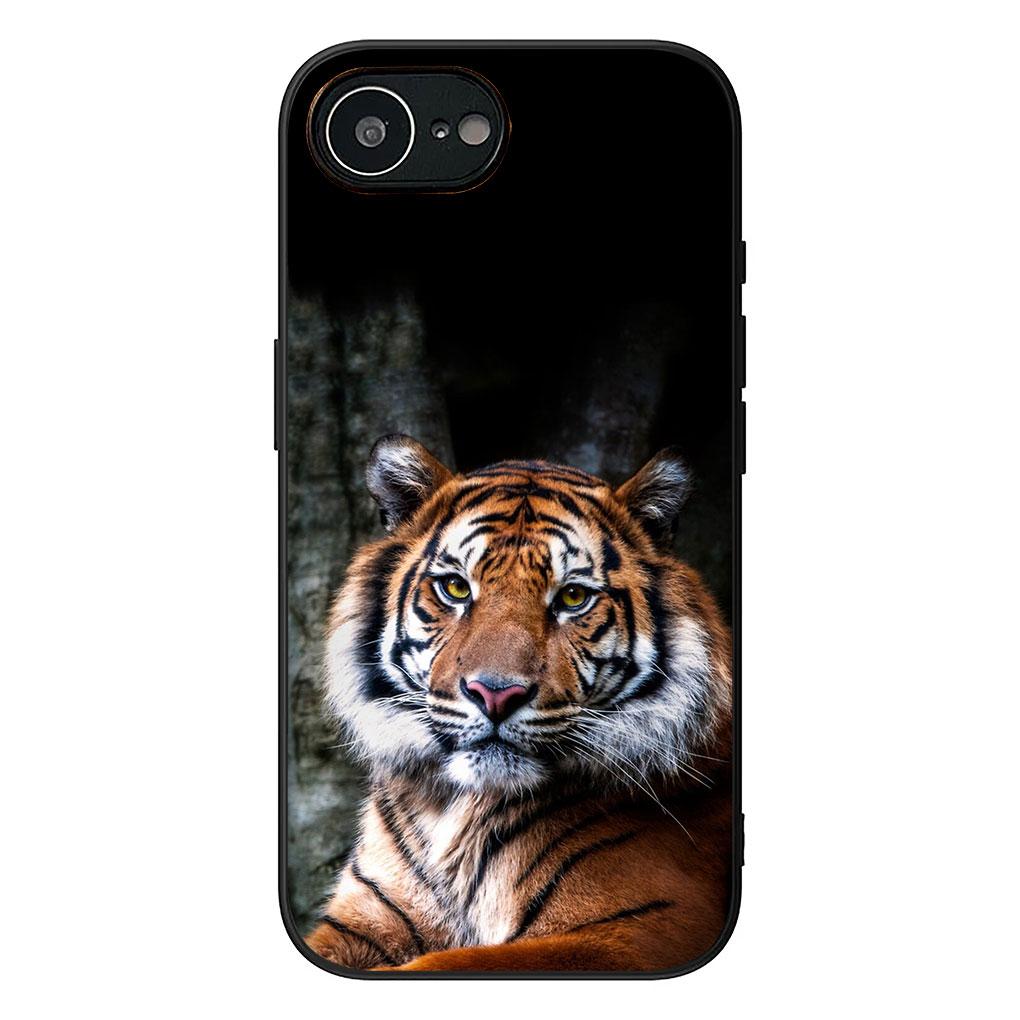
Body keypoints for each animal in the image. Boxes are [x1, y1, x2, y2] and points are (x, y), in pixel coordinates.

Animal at [304, 434, 734, 973]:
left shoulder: (638, 932)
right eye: (455, 587)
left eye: (572, 597)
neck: (456, 816)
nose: (495, 693)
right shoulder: (363, 919)